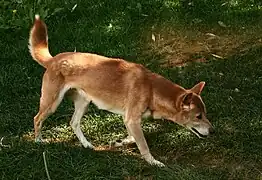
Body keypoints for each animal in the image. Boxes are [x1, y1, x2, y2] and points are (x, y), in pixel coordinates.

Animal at [28, 14, 214, 167]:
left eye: (205, 113)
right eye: (198, 116)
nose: (213, 130)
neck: (152, 90)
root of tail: (53, 59)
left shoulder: (130, 119)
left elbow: (133, 138)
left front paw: (119, 142)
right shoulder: (132, 119)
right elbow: (143, 145)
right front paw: (153, 162)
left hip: (83, 102)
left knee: (73, 122)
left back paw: (87, 145)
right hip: (52, 103)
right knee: (37, 119)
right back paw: (38, 141)